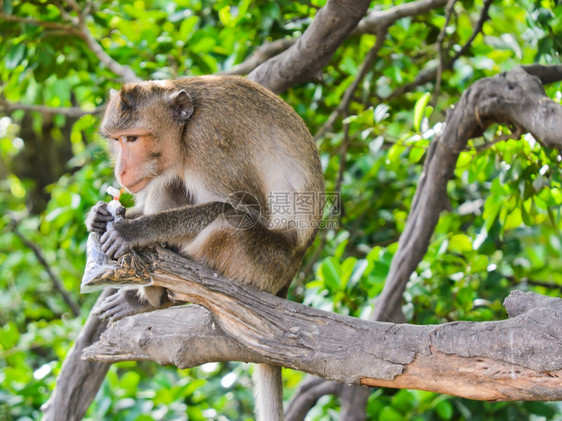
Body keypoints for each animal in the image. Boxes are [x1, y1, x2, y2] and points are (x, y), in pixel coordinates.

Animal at [86, 74, 324, 418]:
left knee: (229, 224)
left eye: (133, 138)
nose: (121, 170)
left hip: (262, 264)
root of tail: (286, 281)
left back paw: (157, 293)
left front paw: (134, 230)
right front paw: (100, 216)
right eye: (116, 140)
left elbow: (244, 210)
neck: (184, 131)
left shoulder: (209, 142)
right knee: (169, 183)